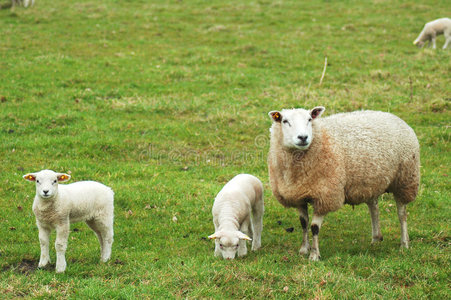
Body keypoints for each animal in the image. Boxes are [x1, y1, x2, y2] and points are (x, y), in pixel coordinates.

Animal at [268, 107, 420, 260]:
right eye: (285, 121)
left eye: (310, 119)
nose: (303, 137)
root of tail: (392, 115)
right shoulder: (298, 195)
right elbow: (303, 223)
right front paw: (304, 249)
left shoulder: (326, 196)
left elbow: (314, 227)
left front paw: (314, 255)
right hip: (370, 182)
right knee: (374, 208)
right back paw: (376, 239)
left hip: (405, 179)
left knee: (402, 213)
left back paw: (404, 243)